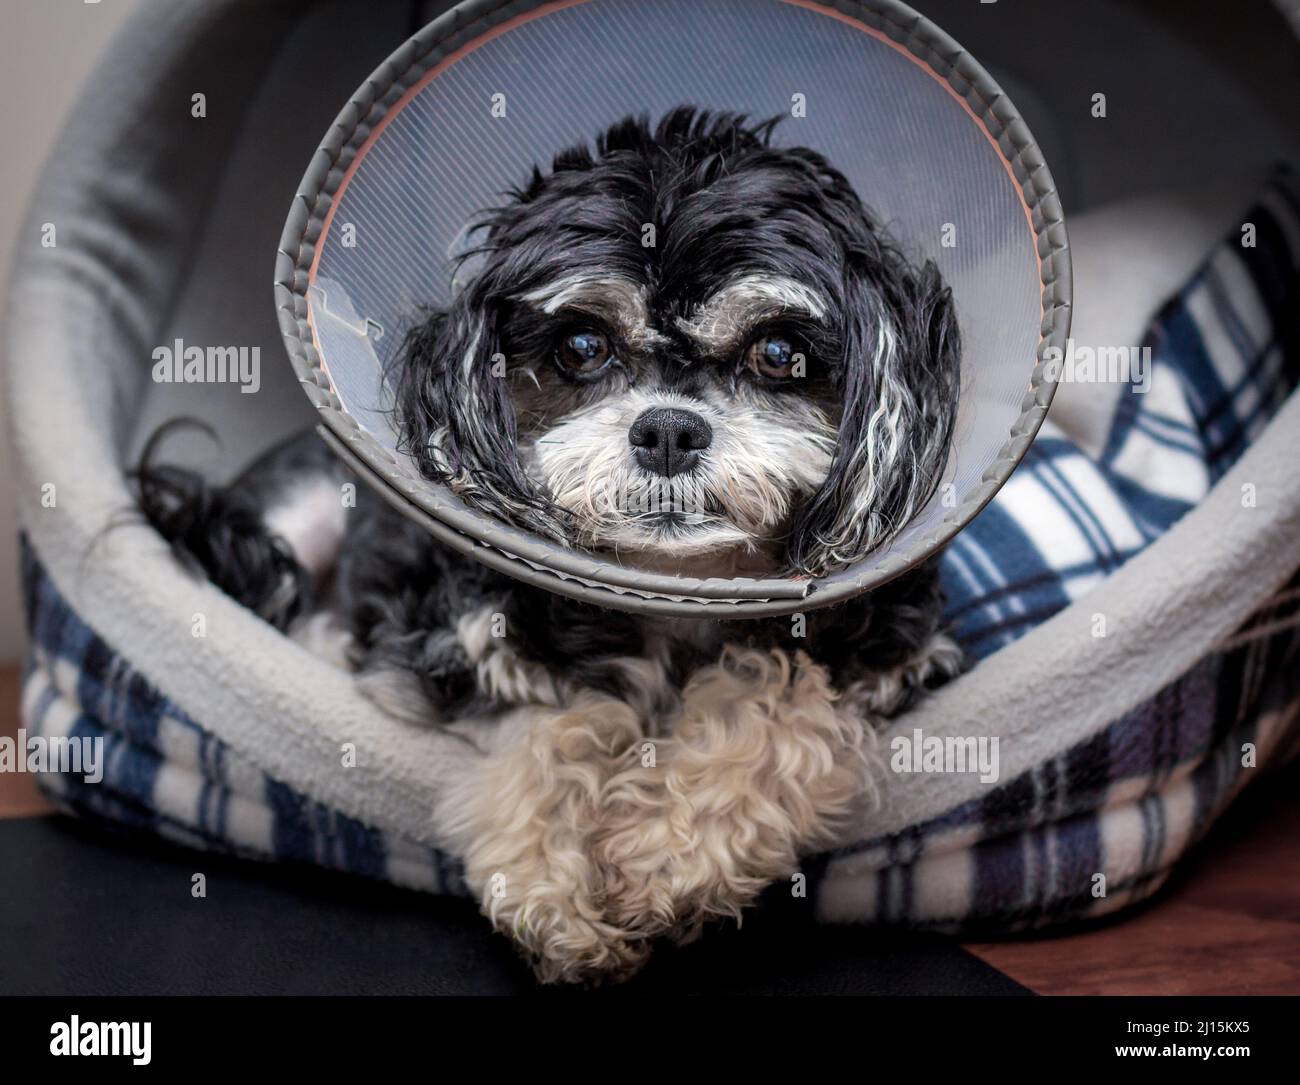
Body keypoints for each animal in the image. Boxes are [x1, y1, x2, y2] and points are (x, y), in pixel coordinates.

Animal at [137, 110, 961, 982]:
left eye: (776, 353)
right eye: (581, 346)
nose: (668, 429)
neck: (678, 593)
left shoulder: (896, 662)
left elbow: (787, 702)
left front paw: (662, 858)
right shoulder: (472, 639)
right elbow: (556, 723)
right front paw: (559, 899)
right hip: (303, 510)